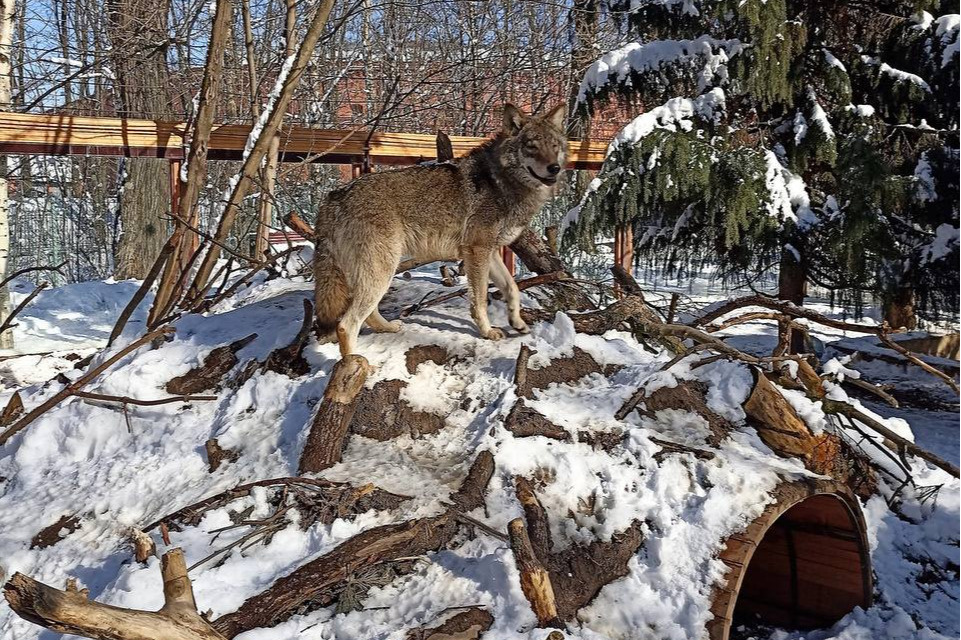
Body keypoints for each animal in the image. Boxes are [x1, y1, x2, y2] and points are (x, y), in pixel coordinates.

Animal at [316, 102, 568, 358]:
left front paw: (517, 322)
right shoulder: (477, 251)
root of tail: (333, 197)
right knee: (346, 325)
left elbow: (512, 288)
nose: (554, 168)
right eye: (531, 146)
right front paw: (487, 332)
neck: (501, 181)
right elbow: (479, 299)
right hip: (381, 270)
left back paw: (388, 328)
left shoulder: (490, 252)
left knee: (368, 314)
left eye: (554, 146)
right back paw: (354, 363)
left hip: (379, 271)